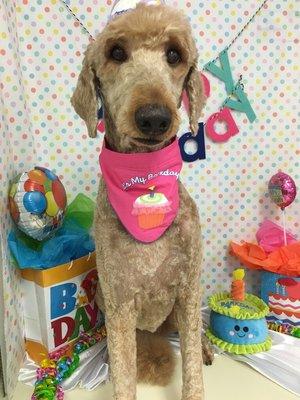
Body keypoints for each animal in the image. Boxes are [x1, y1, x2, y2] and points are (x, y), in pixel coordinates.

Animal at [72, 3, 213, 400]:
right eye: (116, 52)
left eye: (174, 55)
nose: (154, 117)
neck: (144, 178)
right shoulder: (119, 302)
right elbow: (123, 373)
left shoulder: (188, 288)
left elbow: (192, 368)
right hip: (103, 298)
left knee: (196, 332)